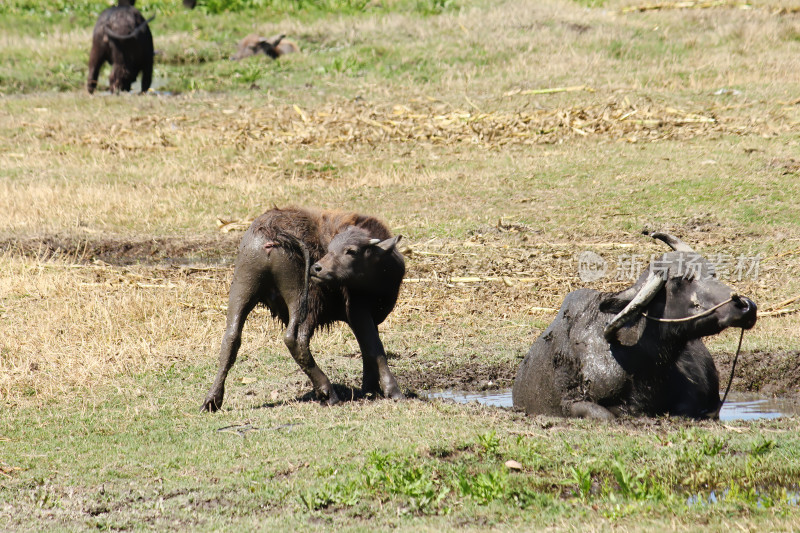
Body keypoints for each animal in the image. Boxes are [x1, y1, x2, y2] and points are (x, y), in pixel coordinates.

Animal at [200, 205, 406, 412]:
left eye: (351, 251)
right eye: (331, 249)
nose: (317, 268)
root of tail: (271, 233)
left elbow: (367, 349)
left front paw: (370, 388)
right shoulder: (358, 310)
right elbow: (375, 348)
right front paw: (392, 391)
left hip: (242, 286)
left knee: (231, 338)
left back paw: (212, 400)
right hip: (306, 299)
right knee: (295, 339)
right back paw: (327, 392)